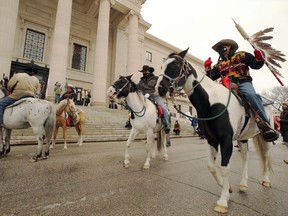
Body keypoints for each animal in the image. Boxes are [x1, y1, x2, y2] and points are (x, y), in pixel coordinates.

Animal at [156, 49, 276, 213]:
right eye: (162, 65)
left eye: (175, 64)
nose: (160, 88)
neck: (212, 102)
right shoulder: (211, 140)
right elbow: (211, 167)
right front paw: (228, 188)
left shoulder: (226, 140)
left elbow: (225, 168)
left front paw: (223, 200)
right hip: (243, 138)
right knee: (246, 157)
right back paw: (243, 184)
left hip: (265, 137)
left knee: (266, 156)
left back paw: (265, 180)